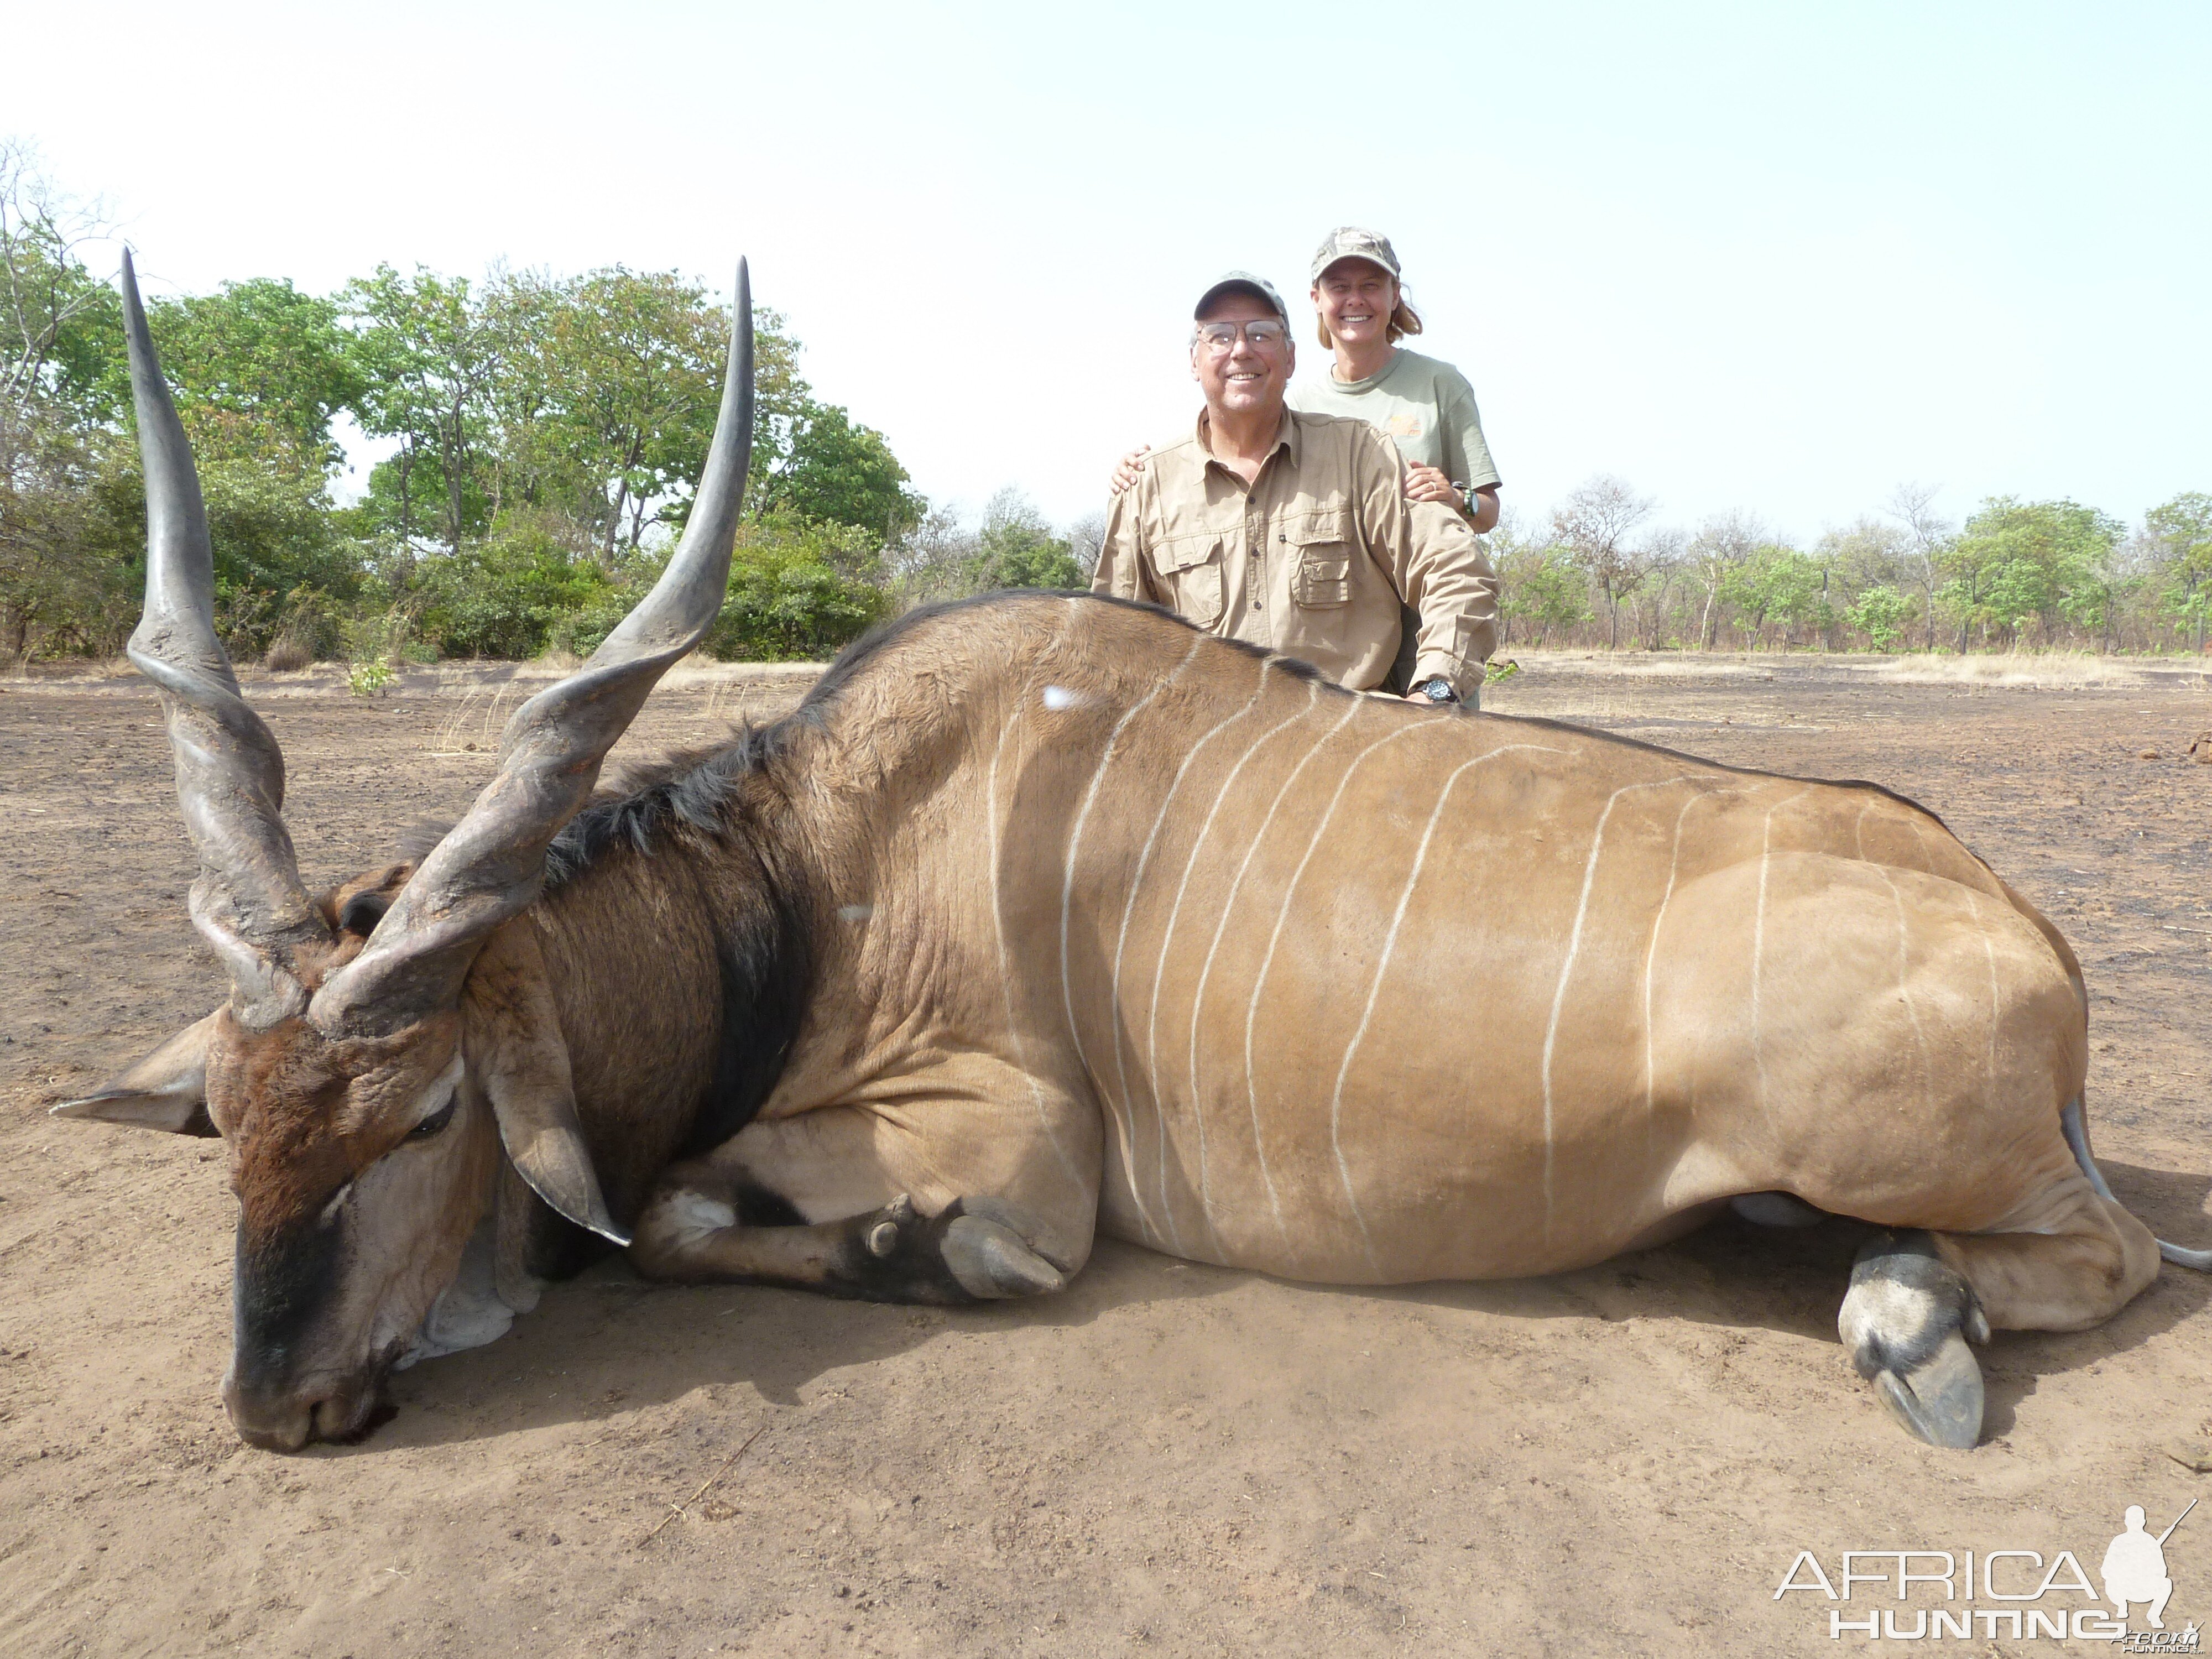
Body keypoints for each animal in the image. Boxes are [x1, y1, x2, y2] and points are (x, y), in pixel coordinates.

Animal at [60, 250, 2203, 1451]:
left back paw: (1906, 1321)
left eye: (425, 1112)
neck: (814, 879)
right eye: (229, 1122)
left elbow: (746, 1222)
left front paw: (891, 1247)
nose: (277, 1410)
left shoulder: (1023, 1150)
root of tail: (2028, 932)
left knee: (2105, 1252)